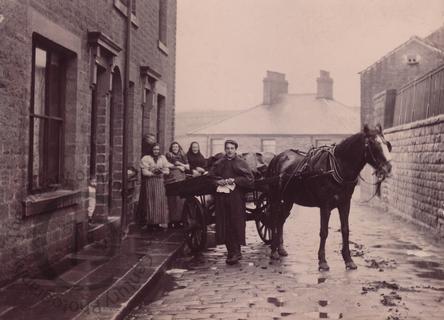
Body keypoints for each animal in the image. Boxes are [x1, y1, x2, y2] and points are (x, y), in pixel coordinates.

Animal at [266, 124, 390, 270]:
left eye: (386, 143)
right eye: (372, 143)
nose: (388, 167)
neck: (337, 167)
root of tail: (277, 157)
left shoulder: (345, 204)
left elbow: (345, 230)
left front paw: (348, 260)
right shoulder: (325, 206)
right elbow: (324, 232)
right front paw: (322, 261)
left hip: (288, 199)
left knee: (281, 220)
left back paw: (280, 249)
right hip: (275, 198)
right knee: (274, 220)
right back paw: (273, 251)